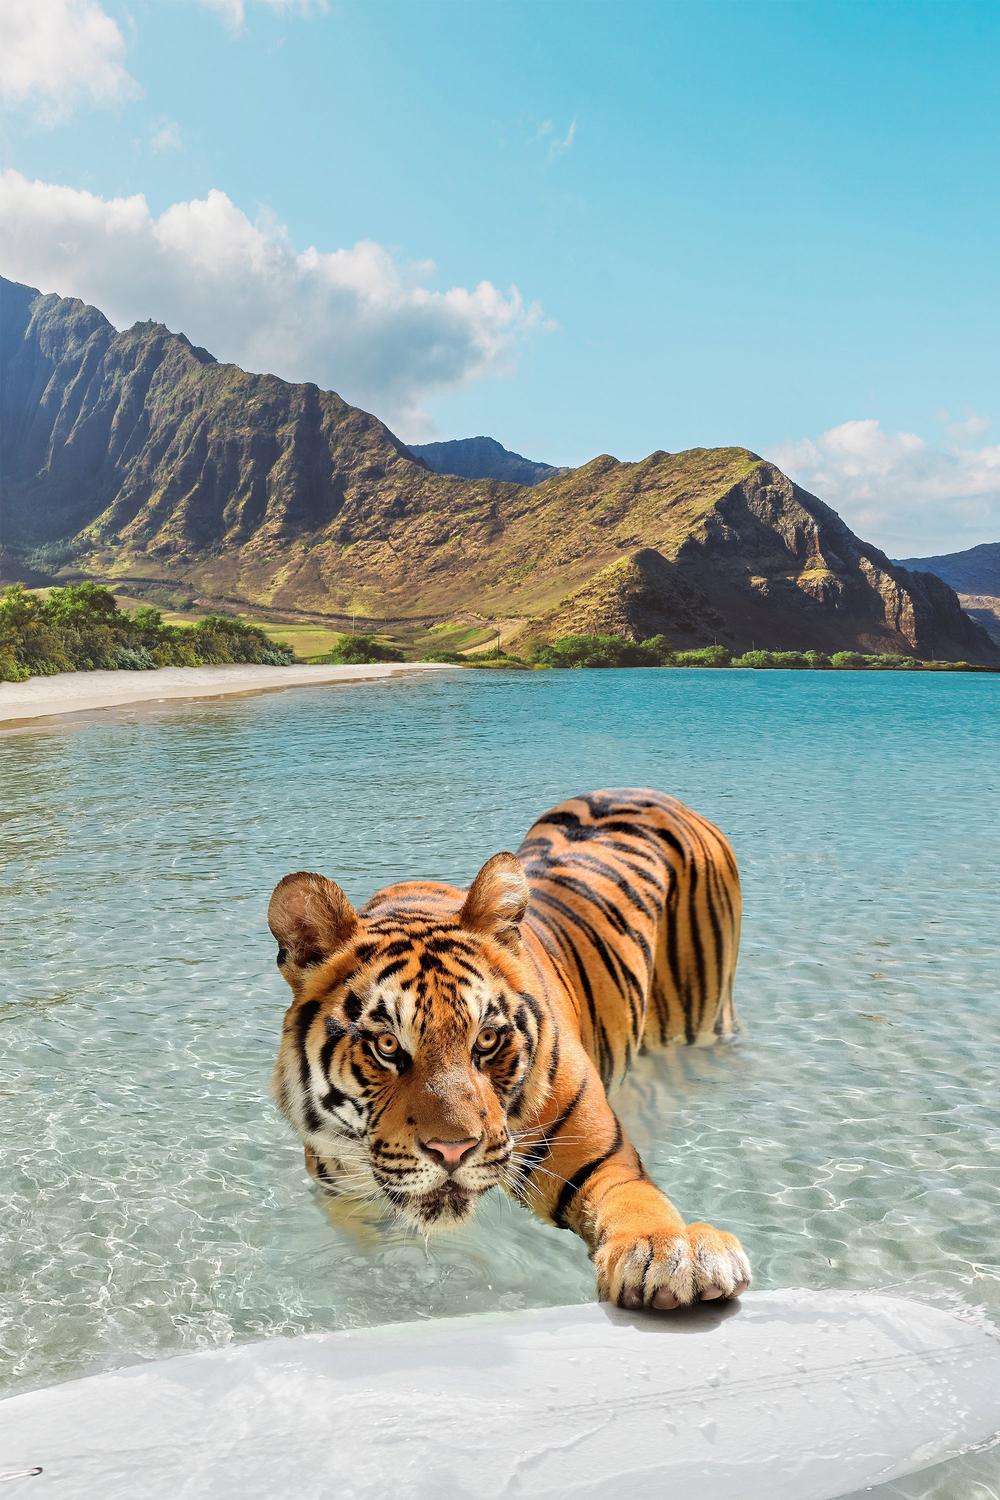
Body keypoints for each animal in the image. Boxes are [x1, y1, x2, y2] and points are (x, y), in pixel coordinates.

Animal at [268, 788, 750, 1310]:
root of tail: (649, 791)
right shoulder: (346, 1194)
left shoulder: (604, 1161)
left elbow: (636, 1200)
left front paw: (669, 1252)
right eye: (387, 1044)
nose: (452, 1152)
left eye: (486, 1038)